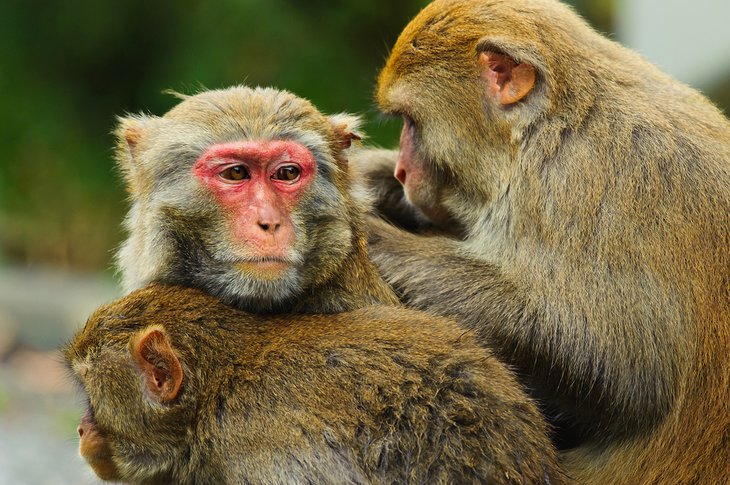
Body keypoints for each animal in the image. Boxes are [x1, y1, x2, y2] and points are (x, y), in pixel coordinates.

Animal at [356, 0, 728, 484]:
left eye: (411, 123)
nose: (403, 171)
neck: (556, 123)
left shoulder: (591, 187)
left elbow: (621, 368)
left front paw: (374, 236)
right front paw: (371, 179)